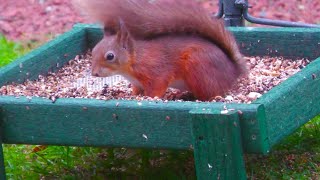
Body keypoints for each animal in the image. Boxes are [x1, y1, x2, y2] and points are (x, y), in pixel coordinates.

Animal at [73, 0, 248, 101]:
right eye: (94, 51)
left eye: (110, 56)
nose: (94, 73)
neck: (134, 61)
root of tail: (233, 72)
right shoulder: (137, 83)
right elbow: (136, 91)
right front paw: (131, 96)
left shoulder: (156, 72)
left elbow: (157, 87)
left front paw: (149, 98)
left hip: (198, 69)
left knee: (209, 95)